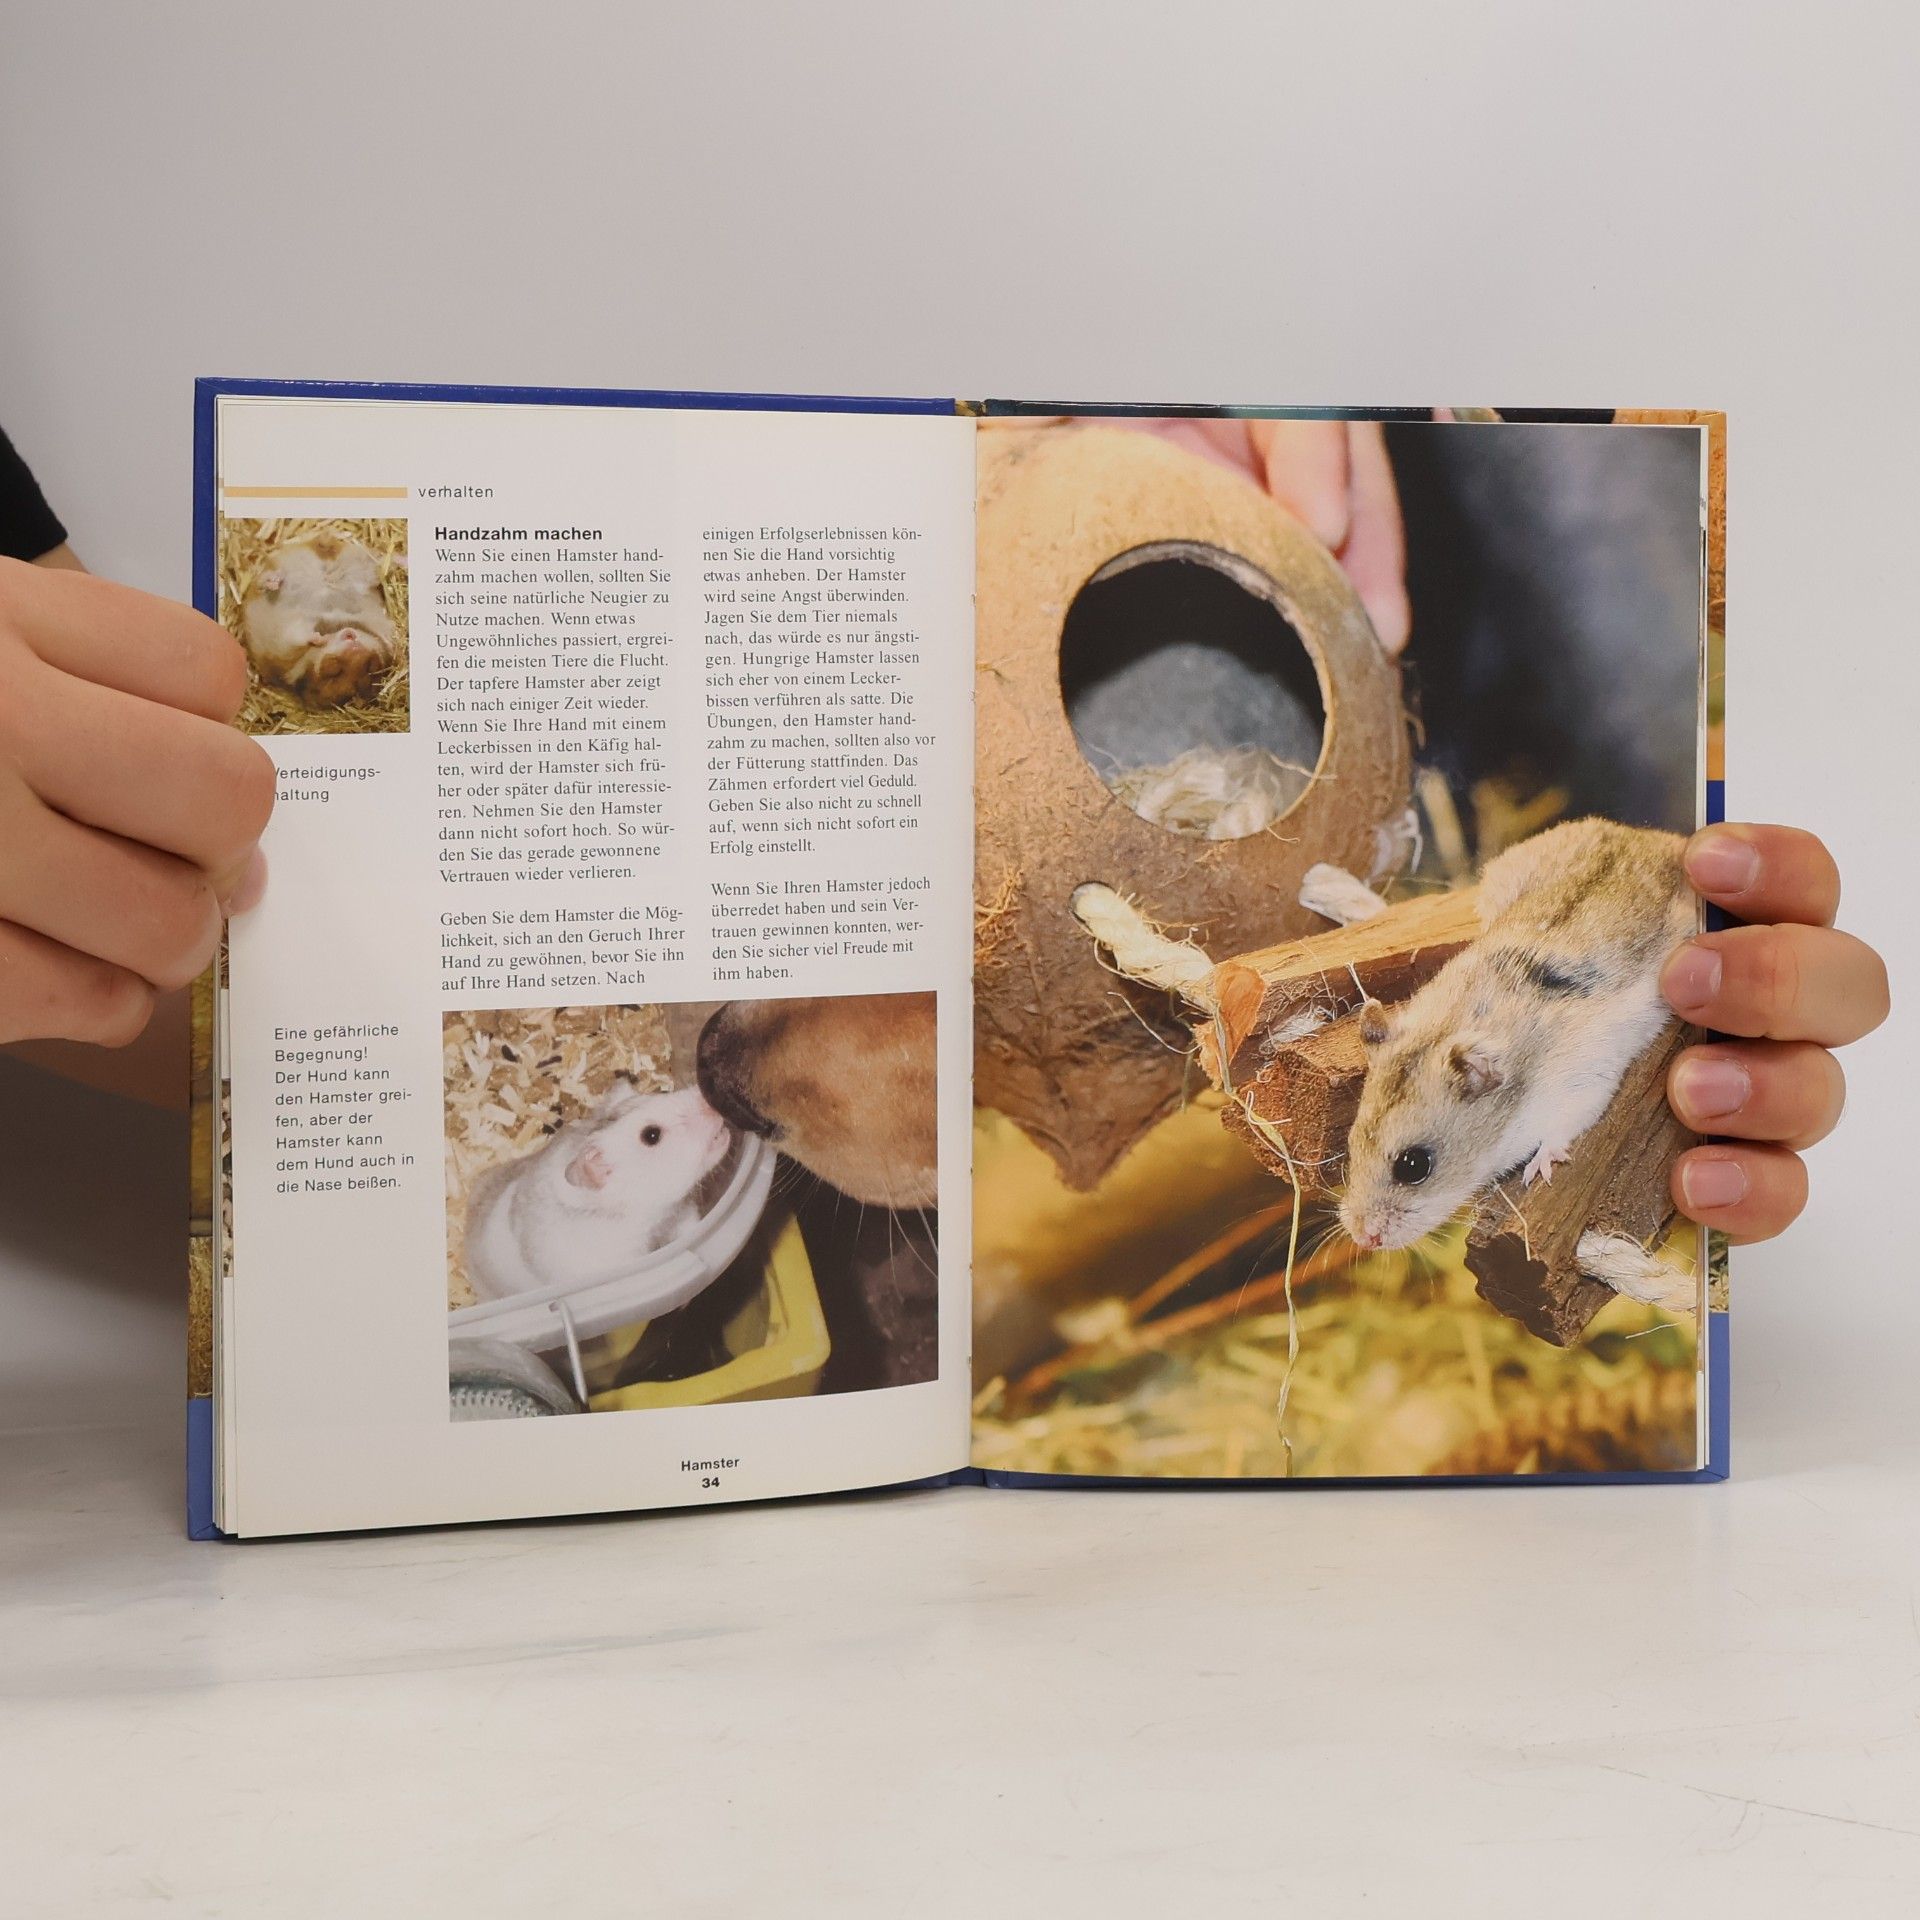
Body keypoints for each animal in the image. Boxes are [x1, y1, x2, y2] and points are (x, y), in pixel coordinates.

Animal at [240, 532, 398, 707]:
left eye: (371, 666)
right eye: (334, 670)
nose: (354, 644)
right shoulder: (288, 644)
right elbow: (302, 636)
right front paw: (320, 639)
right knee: (264, 581)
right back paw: (274, 582)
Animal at [1338, 817, 1693, 1252]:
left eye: (1413, 1165)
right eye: (1351, 1144)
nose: (1362, 1237)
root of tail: (1642, 832)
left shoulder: (1583, 1085)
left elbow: (1560, 1130)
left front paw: (1537, 1170)